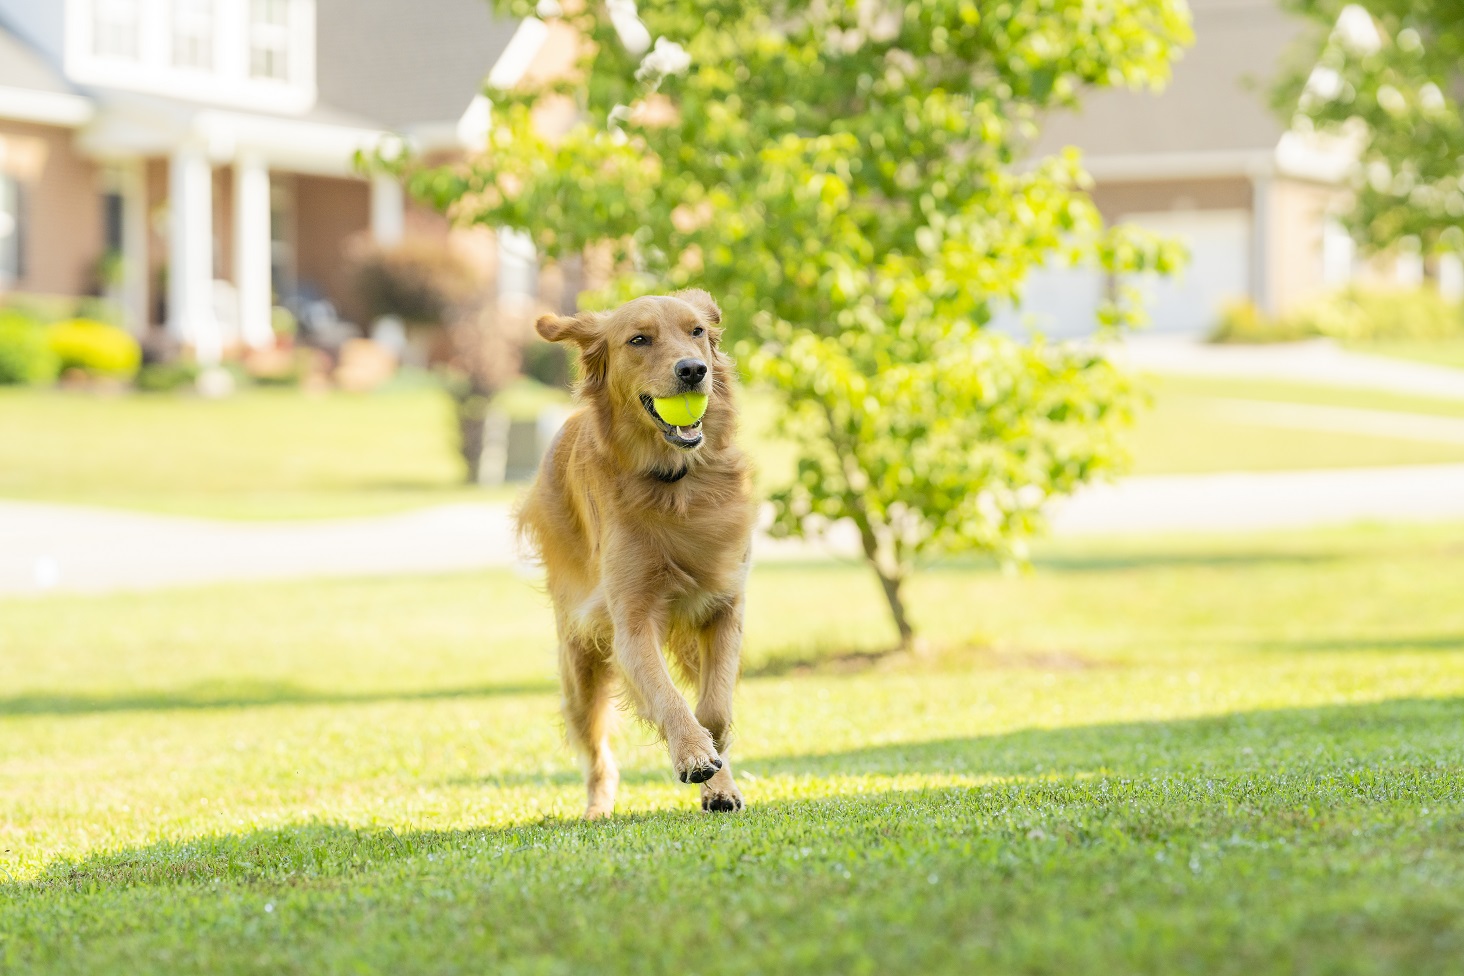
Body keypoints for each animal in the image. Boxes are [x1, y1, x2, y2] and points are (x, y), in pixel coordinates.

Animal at [521, 288, 755, 819]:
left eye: (696, 331)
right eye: (639, 340)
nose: (693, 370)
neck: (676, 483)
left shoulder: (725, 606)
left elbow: (714, 709)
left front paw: (715, 770)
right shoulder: (629, 623)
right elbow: (667, 696)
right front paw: (692, 754)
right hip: (579, 662)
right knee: (596, 753)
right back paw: (597, 809)